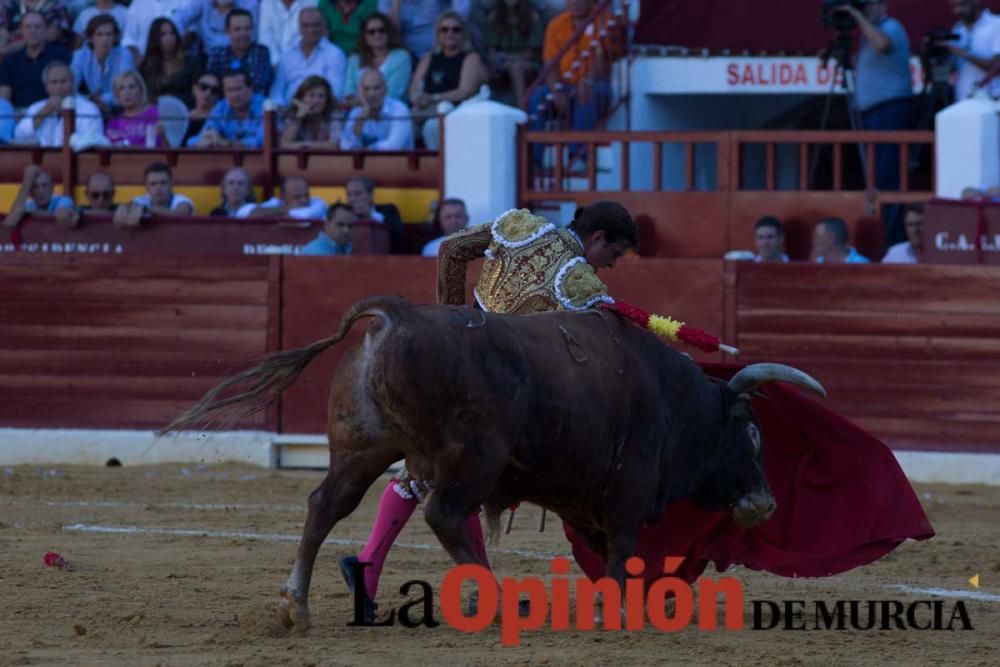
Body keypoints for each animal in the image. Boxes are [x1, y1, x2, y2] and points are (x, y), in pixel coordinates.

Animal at [164, 294, 824, 628]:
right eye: (753, 435)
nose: (764, 502)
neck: (673, 398)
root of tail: (393, 317)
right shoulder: (629, 486)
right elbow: (622, 546)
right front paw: (616, 605)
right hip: (472, 455)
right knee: (442, 514)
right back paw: (494, 600)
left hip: (364, 446)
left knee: (329, 504)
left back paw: (297, 604)